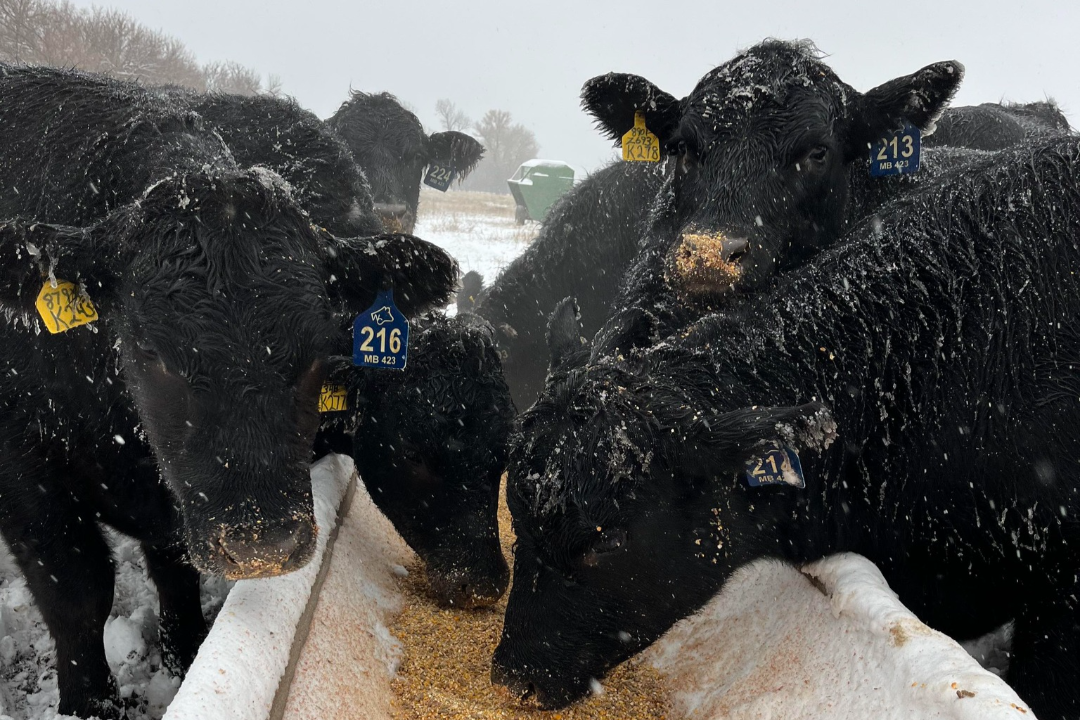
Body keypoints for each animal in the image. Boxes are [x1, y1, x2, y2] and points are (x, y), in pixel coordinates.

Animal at [0, 63, 451, 720]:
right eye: (150, 350)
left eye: (321, 346)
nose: (263, 541)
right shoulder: (24, 471)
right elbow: (77, 591)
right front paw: (90, 703)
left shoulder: (175, 496)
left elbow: (174, 565)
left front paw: (185, 655)